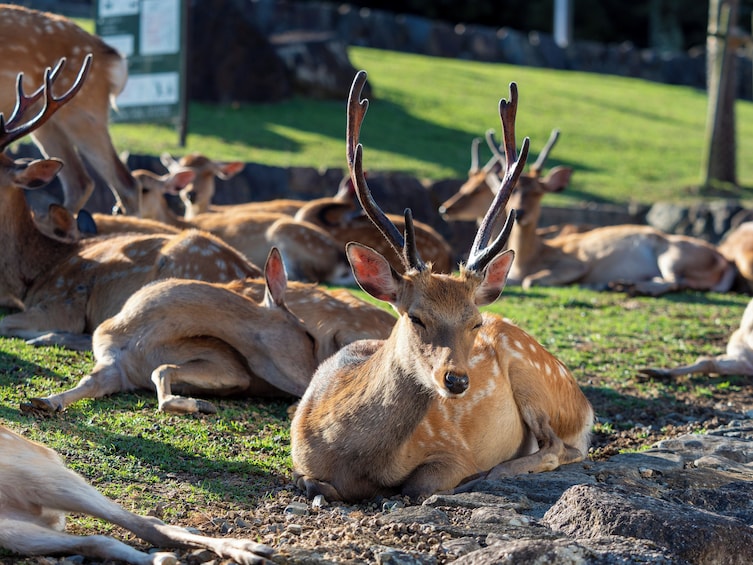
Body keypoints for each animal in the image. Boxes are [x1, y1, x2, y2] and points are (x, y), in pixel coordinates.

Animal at [0, 420, 274, 560]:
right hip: (10, 529)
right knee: (99, 541)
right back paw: (160, 559)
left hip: (41, 477)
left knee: (146, 523)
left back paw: (250, 551)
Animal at [290, 72, 592, 500]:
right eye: (416, 317)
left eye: (475, 322)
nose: (457, 380)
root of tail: (585, 407)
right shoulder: (299, 457)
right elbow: (308, 480)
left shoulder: (453, 453)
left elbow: (421, 484)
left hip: (531, 375)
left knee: (559, 448)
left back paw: (492, 474)